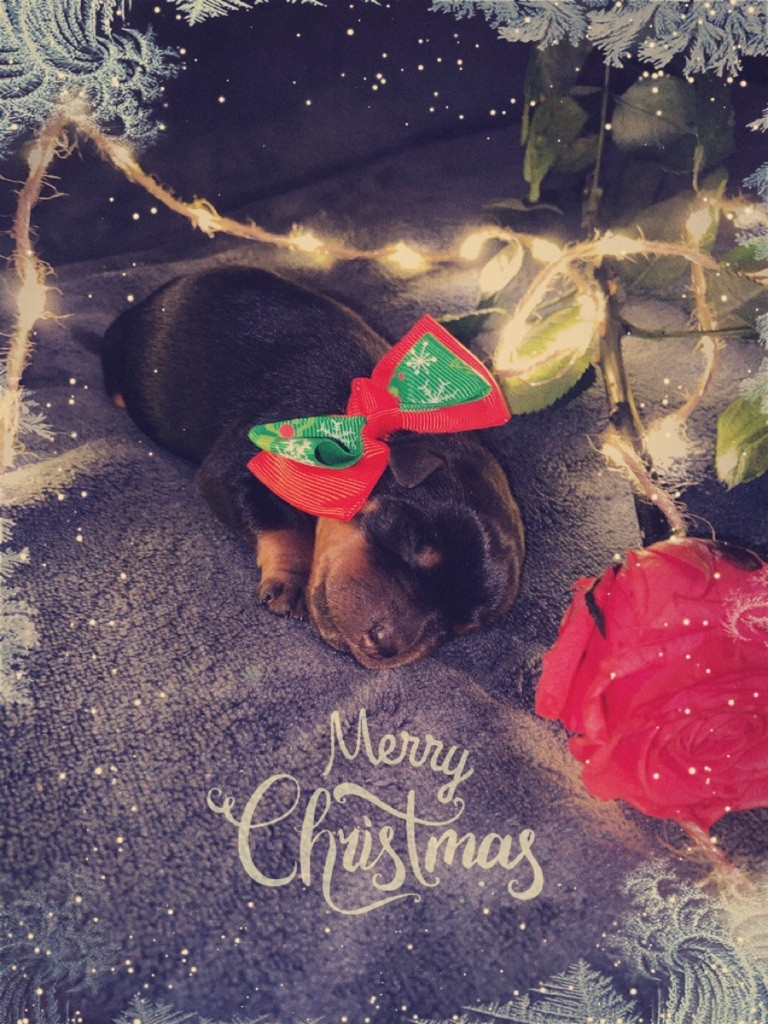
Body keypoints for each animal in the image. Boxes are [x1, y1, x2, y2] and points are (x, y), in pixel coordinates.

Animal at [102, 264, 524, 667]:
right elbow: (283, 523)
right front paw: (292, 579)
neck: (370, 422)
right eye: (409, 538)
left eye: (460, 627)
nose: (386, 645)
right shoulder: (243, 461)